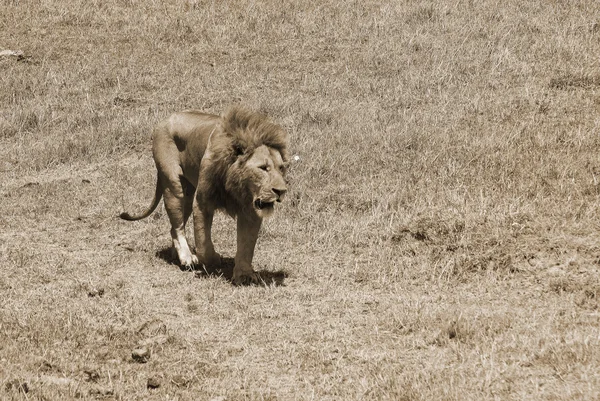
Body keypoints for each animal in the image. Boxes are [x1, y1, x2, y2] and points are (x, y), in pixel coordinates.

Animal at [120, 104, 290, 282]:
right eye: (263, 168)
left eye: (282, 168)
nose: (281, 191)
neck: (237, 185)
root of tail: (164, 121)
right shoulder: (203, 202)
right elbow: (203, 240)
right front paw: (212, 259)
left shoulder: (250, 209)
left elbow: (247, 243)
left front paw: (244, 274)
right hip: (174, 187)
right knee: (178, 226)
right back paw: (187, 257)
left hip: (187, 195)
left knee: (174, 228)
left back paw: (177, 255)